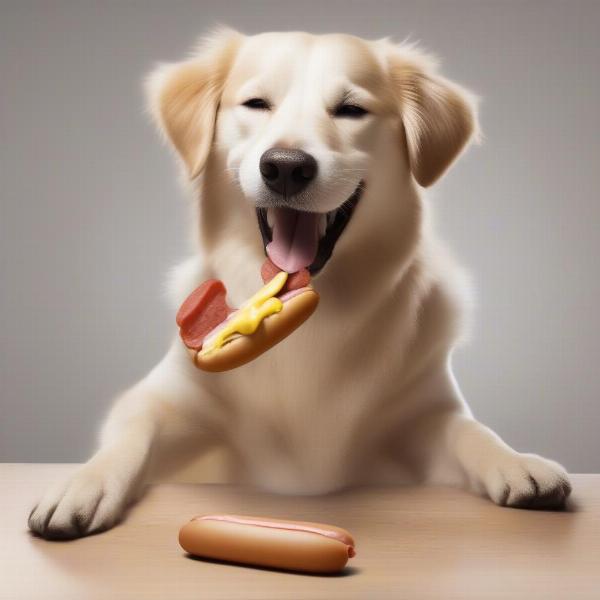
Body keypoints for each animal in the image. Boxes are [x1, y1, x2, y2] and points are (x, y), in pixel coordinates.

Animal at [28, 30, 572, 540]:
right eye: (256, 104)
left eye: (351, 109)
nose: (286, 166)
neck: (316, 318)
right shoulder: (168, 398)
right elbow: (130, 432)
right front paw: (81, 484)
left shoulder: (425, 413)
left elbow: (472, 433)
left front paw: (519, 463)